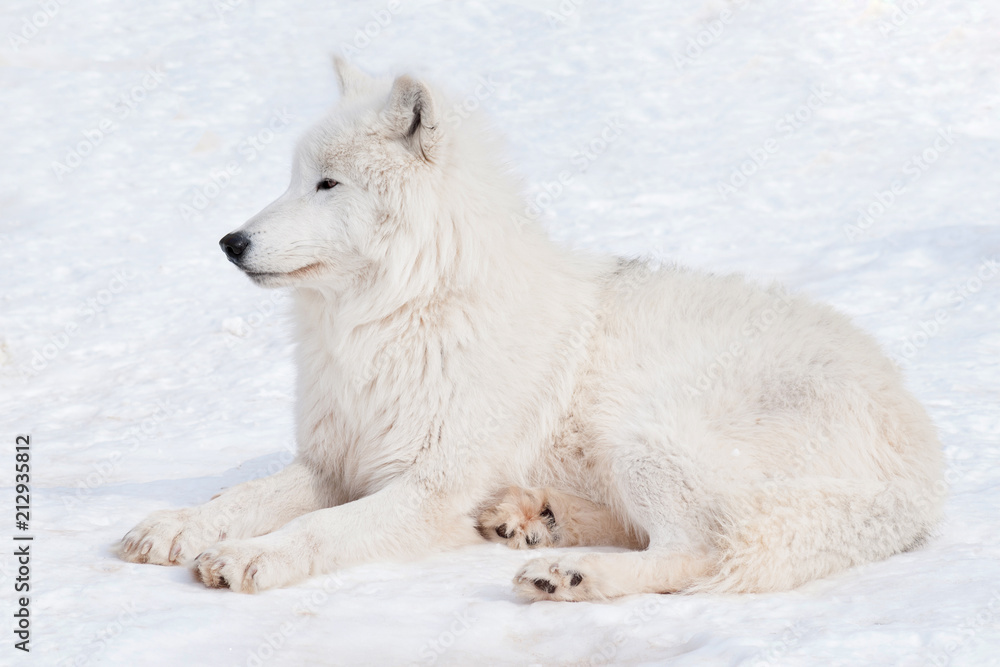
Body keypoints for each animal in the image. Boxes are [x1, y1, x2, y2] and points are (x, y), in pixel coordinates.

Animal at [119, 60, 944, 601]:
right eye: (292, 179)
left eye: (327, 184)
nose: (231, 242)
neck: (396, 317)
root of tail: (924, 473)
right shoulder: (334, 460)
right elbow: (242, 495)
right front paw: (176, 526)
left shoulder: (428, 486)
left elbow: (318, 530)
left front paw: (250, 556)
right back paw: (531, 520)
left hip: (641, 433)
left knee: (703, 551)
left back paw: (568, 572)